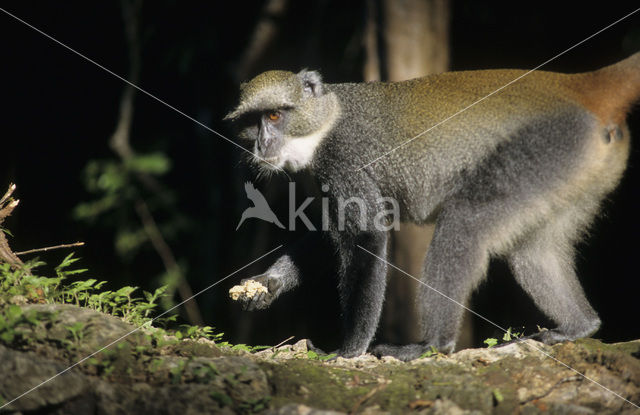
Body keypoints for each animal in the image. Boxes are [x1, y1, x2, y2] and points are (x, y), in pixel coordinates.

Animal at [225, 53, 640, 360]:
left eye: (275, 115)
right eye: (253, 121)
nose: (261, 144)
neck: (328, 119)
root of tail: (577, 85)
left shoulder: (344, 159)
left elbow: (367, 238)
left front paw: (348, 351)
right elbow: (328, 236)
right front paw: (268, 284)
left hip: (552, 144)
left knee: (465, 222)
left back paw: (432, 345)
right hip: (576, 168)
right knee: (533, 250)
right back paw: (578, 326)